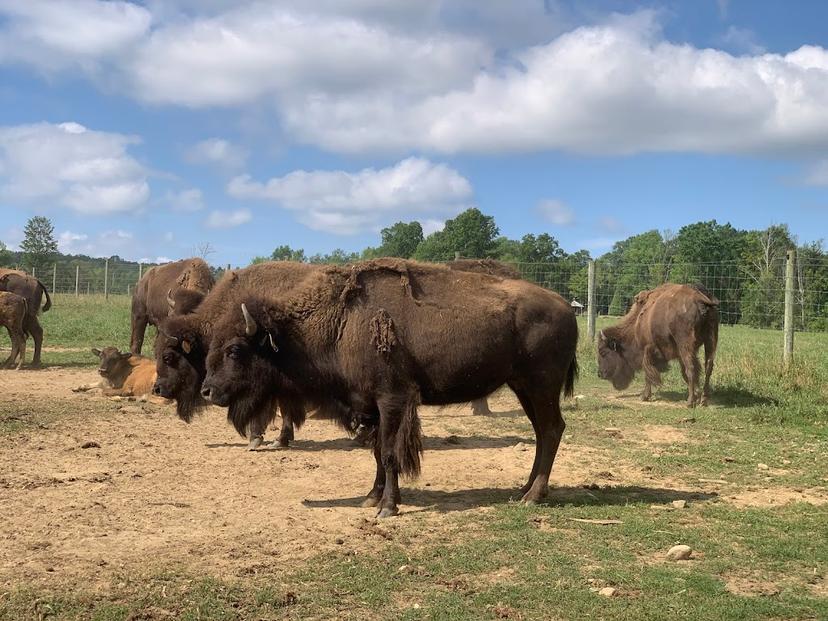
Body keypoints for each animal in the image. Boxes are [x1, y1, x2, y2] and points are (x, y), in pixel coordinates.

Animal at [200, 259, 578, 518]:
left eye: (235, 349)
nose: (208, 391)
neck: (340, 323)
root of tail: (565, 306)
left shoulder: (392, 401)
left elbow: (389, 453)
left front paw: (388, 507)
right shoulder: (371, 407)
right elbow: (378, 452)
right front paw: (372, 497)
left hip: (541, 385)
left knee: (551, 429)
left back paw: (532, 496)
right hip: (522, 387)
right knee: (542, 431)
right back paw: (524, 489)